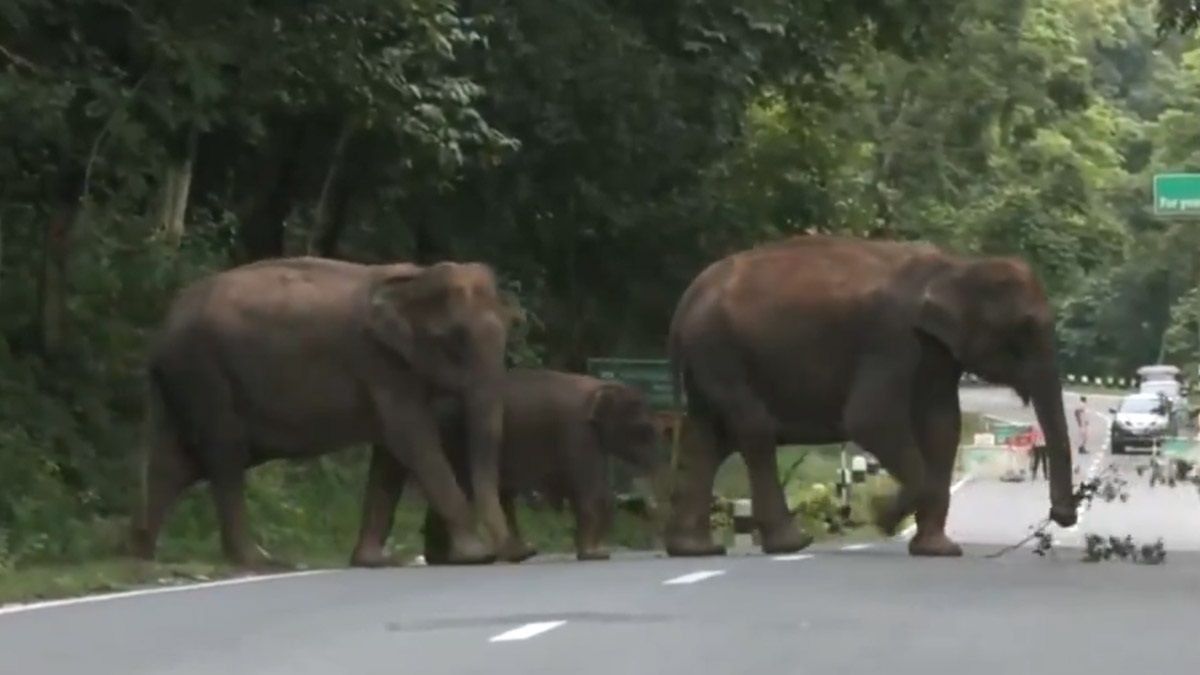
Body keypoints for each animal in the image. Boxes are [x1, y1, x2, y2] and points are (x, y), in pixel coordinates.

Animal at [125, 254, 530, 564]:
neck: (416, 276)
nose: (520, 552)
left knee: (172, 462)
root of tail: (161, 332)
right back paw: (258, 562)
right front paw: (475, 556)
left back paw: (142, 557)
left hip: (181, 380)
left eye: (511, 326)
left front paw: (372, 562)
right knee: (224, 453)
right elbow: (412, 440)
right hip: (203, 371)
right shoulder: (379, 363)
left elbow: (391, 454)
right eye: (455, 339)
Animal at [417, 367, 667, 557]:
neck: (600, 385)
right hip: (456, 439)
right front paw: (594, 554)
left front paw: (589, 550)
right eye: (643, 430)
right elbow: (592, 489)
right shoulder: (577, 432)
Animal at [667, 234, 1080, 554]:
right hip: (719, 350)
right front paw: (884, 518)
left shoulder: (937, 352)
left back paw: (695, 550)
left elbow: (942, 425)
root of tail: (687, 297)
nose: (1063, 516)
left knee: (707, 439)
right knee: (753, 431)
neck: (956, 266)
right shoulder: (891, 338)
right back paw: (792, 543)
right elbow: (870, 419)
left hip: (708, 359)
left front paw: (937, 550)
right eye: (1024, 329)